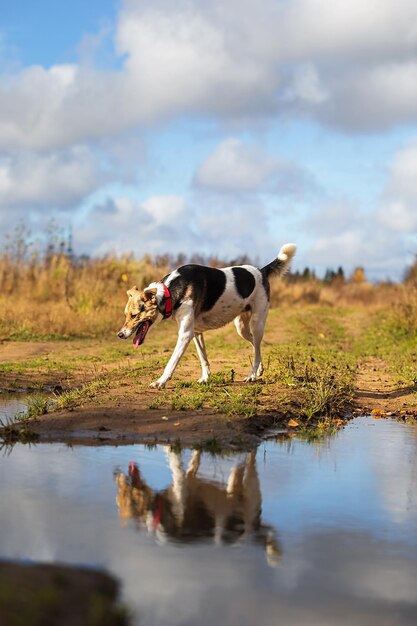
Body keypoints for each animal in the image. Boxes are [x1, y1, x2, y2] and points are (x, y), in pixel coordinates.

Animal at [117, 243, 296, 386]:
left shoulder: (185, 334)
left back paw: (252, 375)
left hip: (257, 322)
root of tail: (261, 271)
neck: (169, 292)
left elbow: (172, 362)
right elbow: (203, 358)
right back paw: (259, 370)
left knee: (257, 348)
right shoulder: (196, 332)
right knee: (255, 346)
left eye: (134, 315)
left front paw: (160, 382)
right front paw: (205, 378)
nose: (120, 334)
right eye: (126, 315)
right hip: (241, 328)